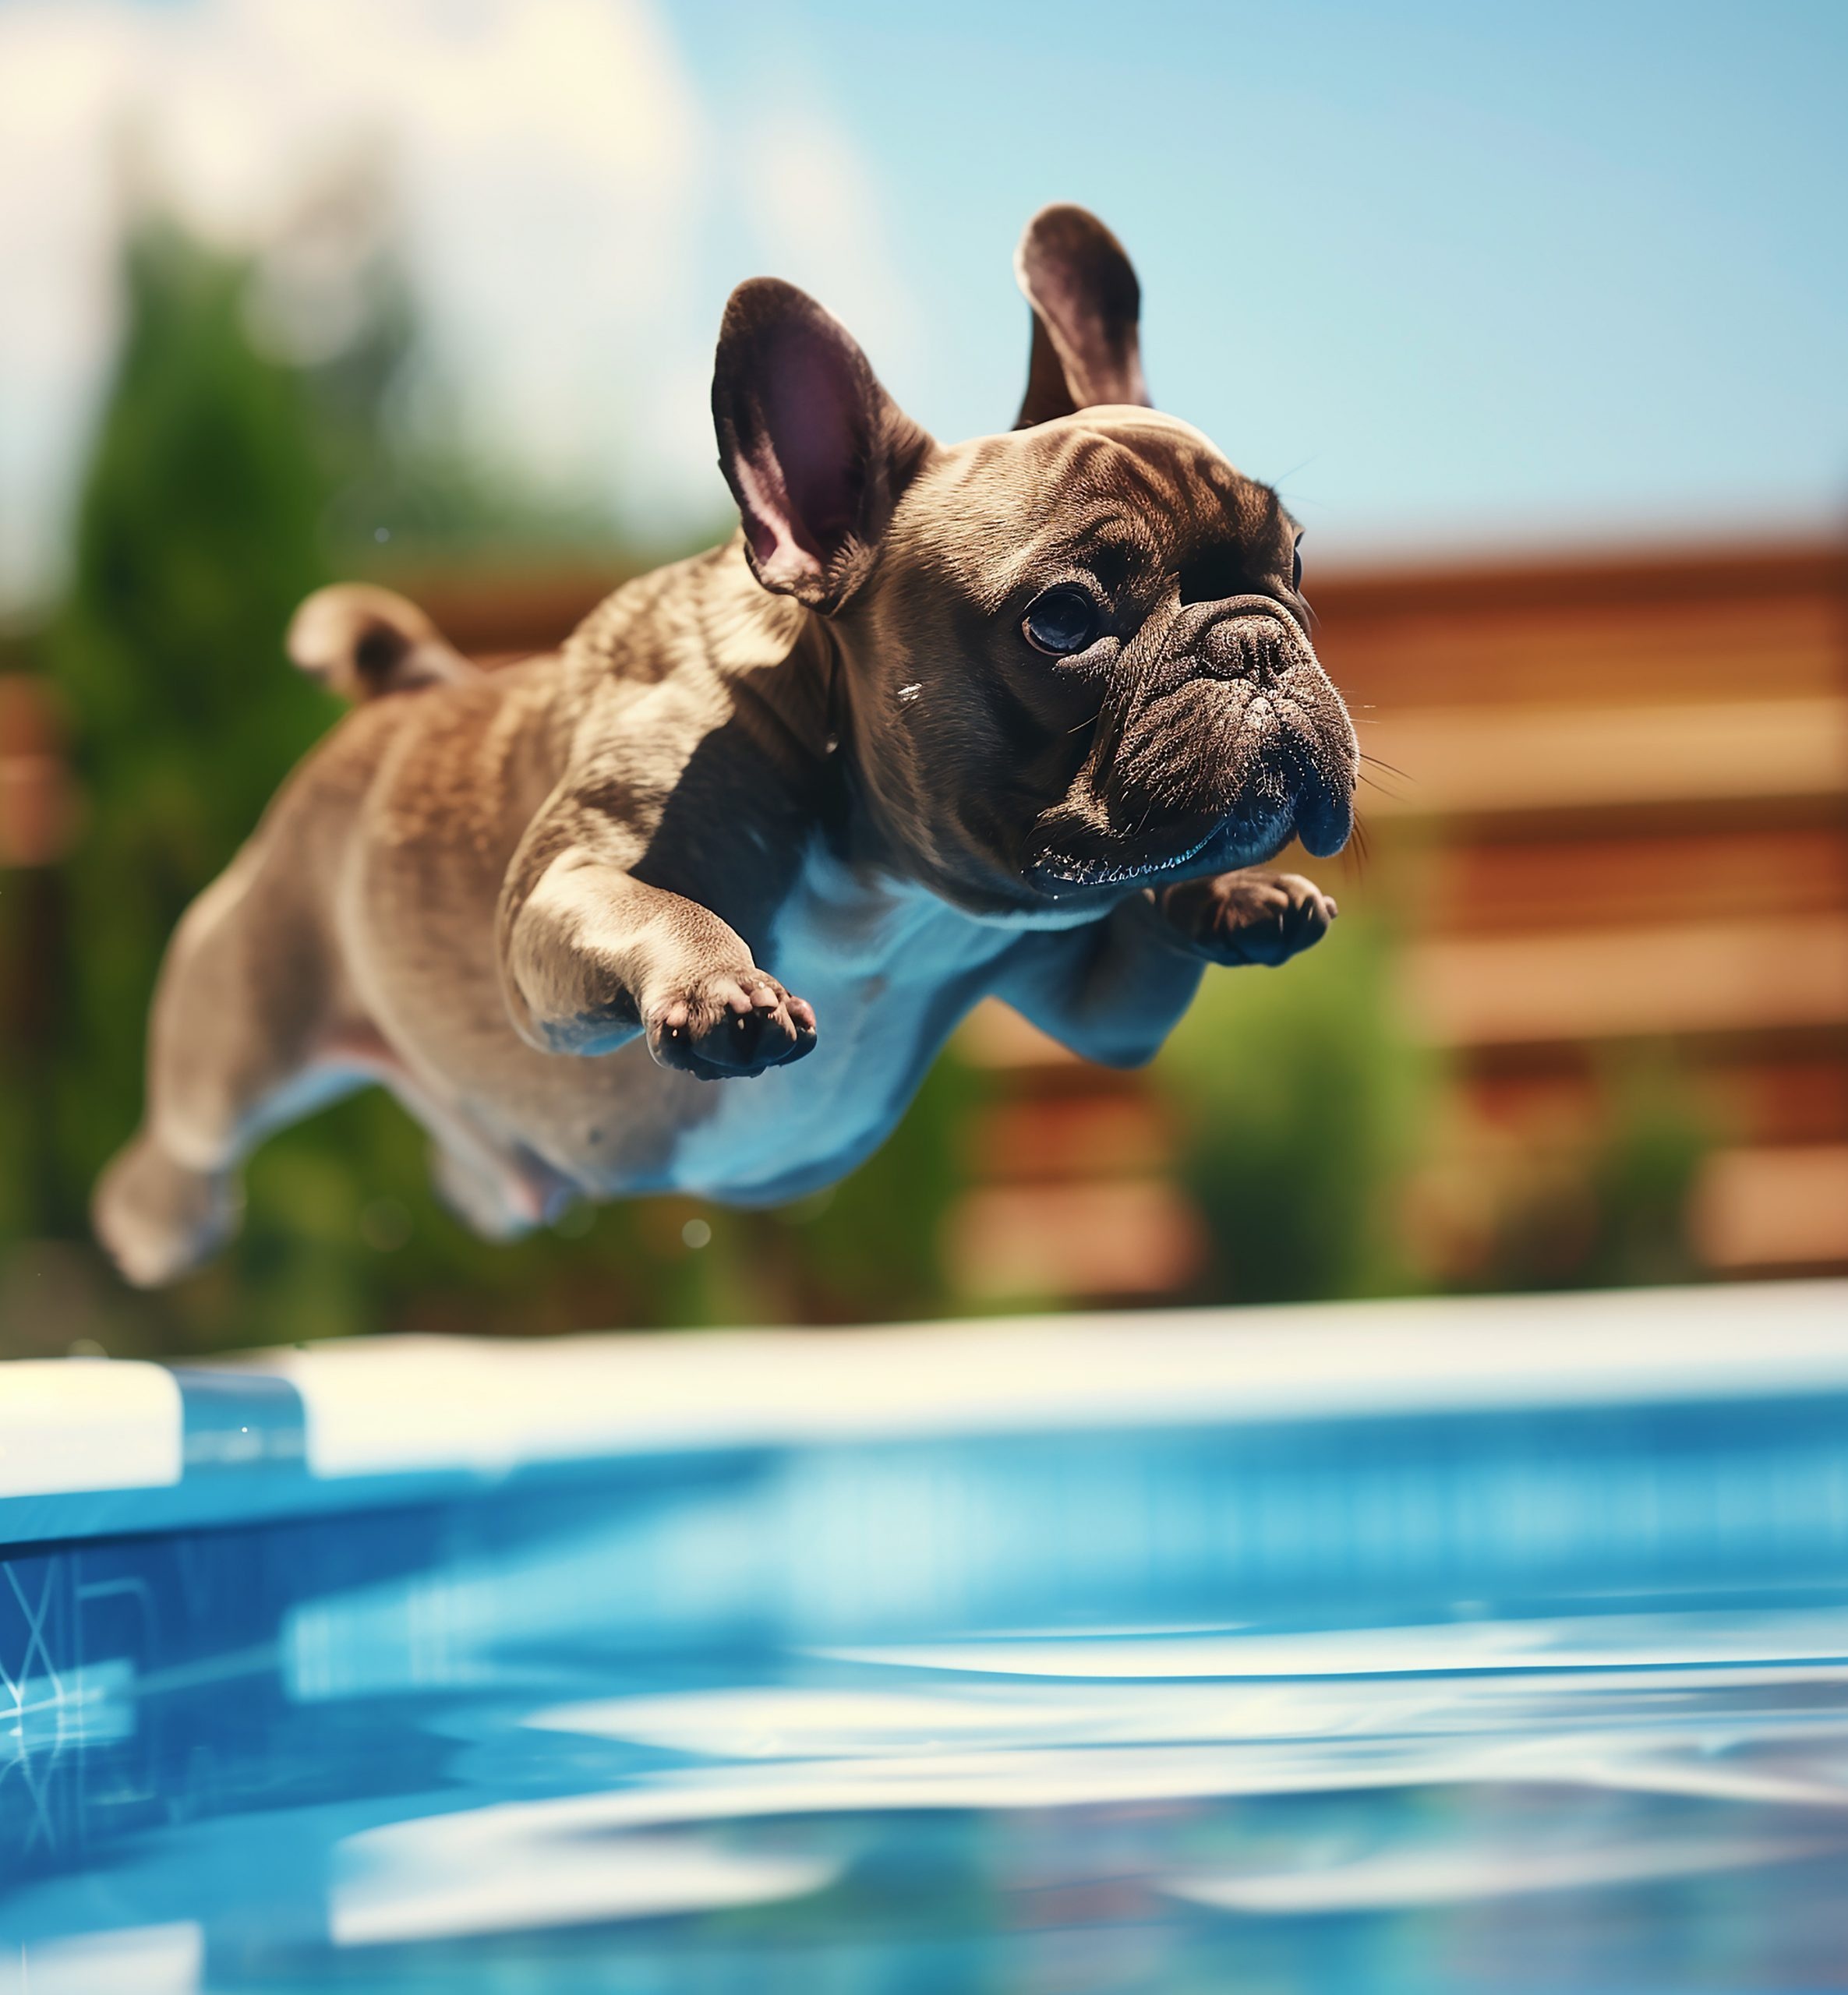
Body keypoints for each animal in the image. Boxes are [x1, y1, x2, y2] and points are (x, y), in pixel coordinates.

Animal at [97, 202, 1357, 1284]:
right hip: (240, 1026)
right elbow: (652, 905)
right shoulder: (562, 895)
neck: (888, 879)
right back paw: (153, 1221)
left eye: (1292, 563)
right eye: (1063, 621)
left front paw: (1238, 895)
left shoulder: (1093, 994)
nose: (1254, 641)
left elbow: (1145, 925)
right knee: (190, 1135)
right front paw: (719, 988)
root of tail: (406, 698)